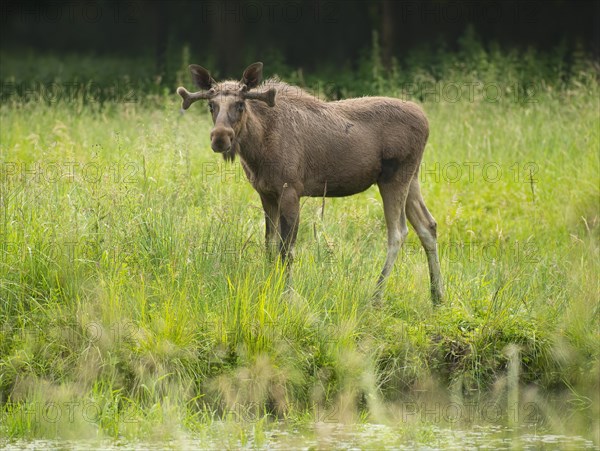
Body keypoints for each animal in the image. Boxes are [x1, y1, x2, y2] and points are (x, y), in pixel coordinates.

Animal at [176, 62, 442, 304]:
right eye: (211, 105)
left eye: (240, 105)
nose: (220, 138)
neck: (257, 151)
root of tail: (427, 122)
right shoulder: (266, 193)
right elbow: (269, 245)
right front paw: (269, 286)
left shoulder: (291, 191)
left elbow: (287, 251)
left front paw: (286, 295)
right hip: (411, 178)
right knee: (428, 225)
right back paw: (437, 295)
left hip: (394, 178)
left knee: (398, 232)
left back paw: (376, 297)